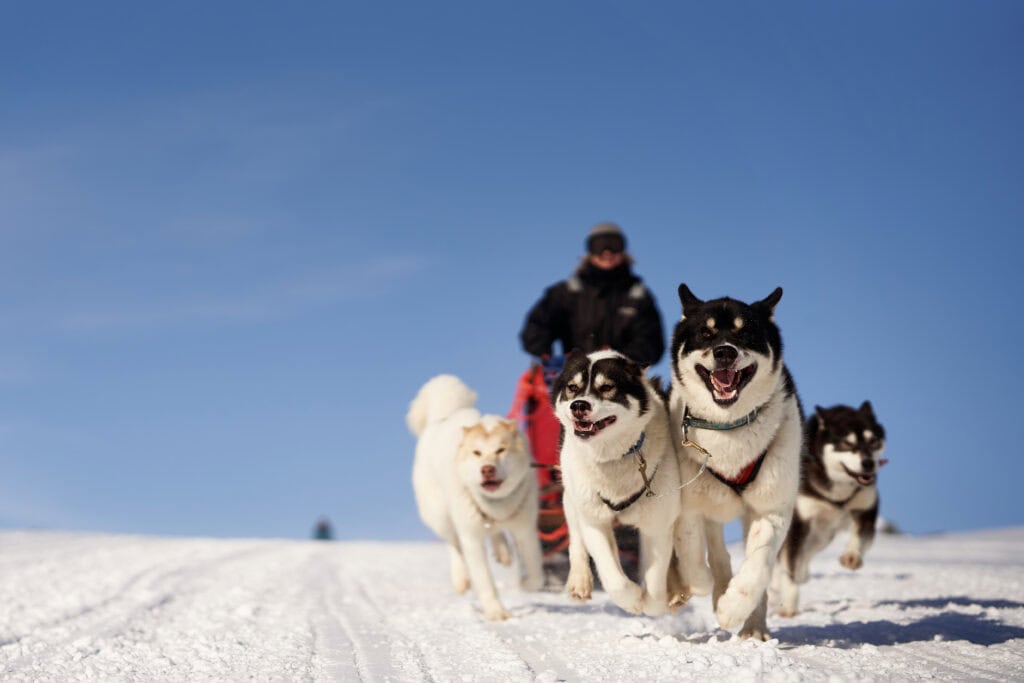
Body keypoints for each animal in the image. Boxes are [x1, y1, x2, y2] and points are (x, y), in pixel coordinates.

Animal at [407, 374, 543, 621]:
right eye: (477, 453)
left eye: (500, 450)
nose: (487, 469)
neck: (496, 504)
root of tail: (444, 416)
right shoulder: (471, 537)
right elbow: (485, 580)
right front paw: (496, 612)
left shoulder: (525, 529)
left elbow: (536, 570)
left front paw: (528, 584)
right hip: (442, 517)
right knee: (454, 545)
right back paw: (461, 578)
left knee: (495, 532)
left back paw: (503, 552)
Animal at [551, 350, 683, 616]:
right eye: (572, 388)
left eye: (607, 387)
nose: (578, 405)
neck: (611, 457)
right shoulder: (594, 521)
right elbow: (613, 577)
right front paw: (632, 599)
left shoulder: (657, 524)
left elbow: (655, 579)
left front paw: (652, 603)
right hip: (572, 496)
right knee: (576, 537)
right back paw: (579, 580)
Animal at [668, 284, 803, 640]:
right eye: (706, 332)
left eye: (746, 333)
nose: (725, 352)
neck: (728, 427)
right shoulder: (688, 503)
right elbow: (691, 550)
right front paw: (702, 584)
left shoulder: (771, 508)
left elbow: (758, 566)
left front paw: (733, 607)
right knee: (715, 550)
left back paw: (752, 625)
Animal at [772, 401, 886, 616]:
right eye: (847, 444)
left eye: (873, 441)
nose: (868, 463)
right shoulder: (798, 523)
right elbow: (790, 568)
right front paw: (789, 606)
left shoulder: (866, 509)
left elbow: (862, 537)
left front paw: (852, 556)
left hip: (822, 536)